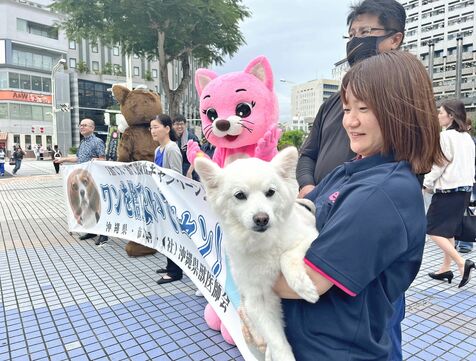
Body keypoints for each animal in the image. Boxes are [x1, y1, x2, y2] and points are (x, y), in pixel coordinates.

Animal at [193, 146, 320, 360]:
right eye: (240, 195)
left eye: (270, 192)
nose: (262, 218)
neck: (263, 243)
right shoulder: (257, 298)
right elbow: (277, 343)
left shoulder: (309, 237)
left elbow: (286, 256)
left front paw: (304, 288)